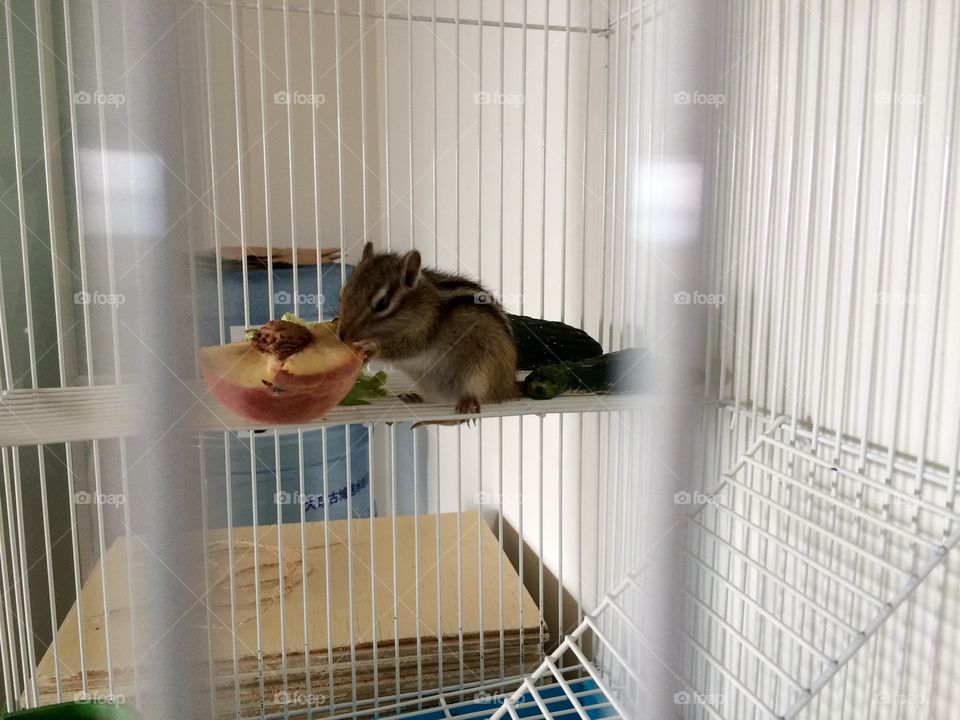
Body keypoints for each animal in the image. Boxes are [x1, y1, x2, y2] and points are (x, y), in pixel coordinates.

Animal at [337, 242, 518, 417]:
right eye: (344, 291)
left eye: (383, 303)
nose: (342, 335)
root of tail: (509, 386)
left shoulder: (425, 330)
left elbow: (406, 347)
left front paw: (373, 348)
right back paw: (414, 397)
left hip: (483, 371)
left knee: (481, 393)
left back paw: (468, 401)